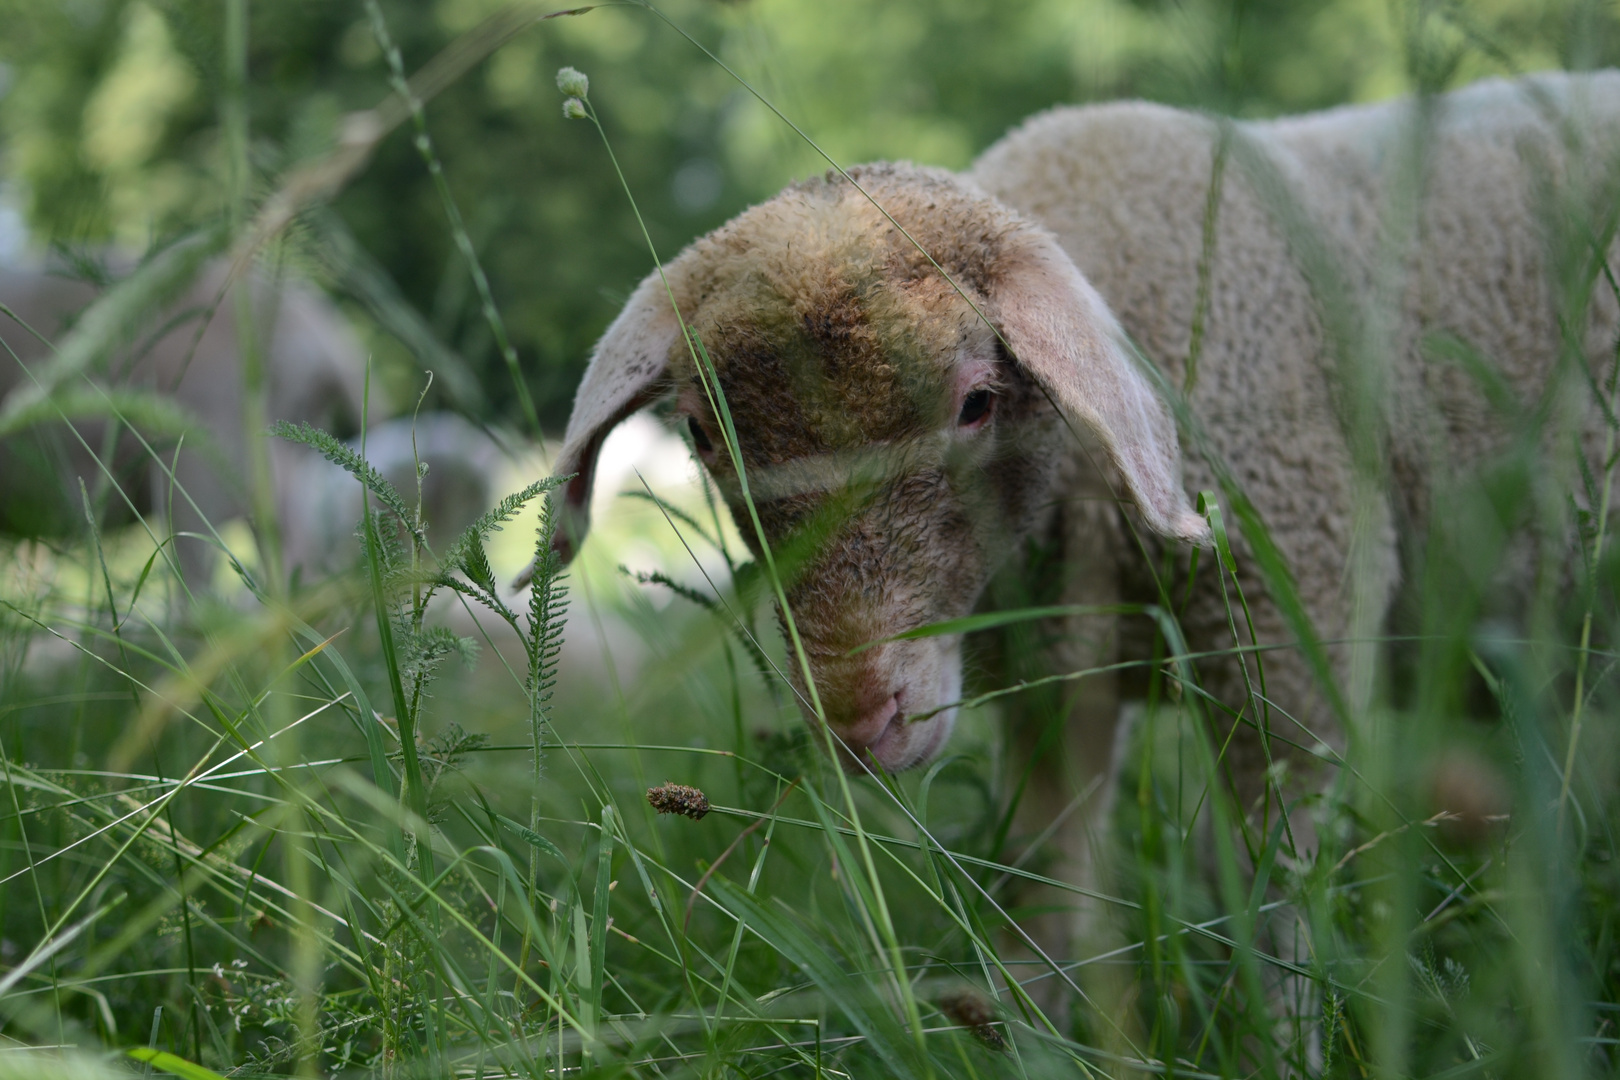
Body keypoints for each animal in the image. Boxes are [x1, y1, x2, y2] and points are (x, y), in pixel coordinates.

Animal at [544, 74, 1620, 1003]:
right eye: (702, 435)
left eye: (978, 402)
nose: (857, 721)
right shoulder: (1053, 688)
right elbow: (1044, 889)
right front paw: (1027, 1029)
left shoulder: (1291, 640)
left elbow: (1273, 895)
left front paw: (1284, 1032)